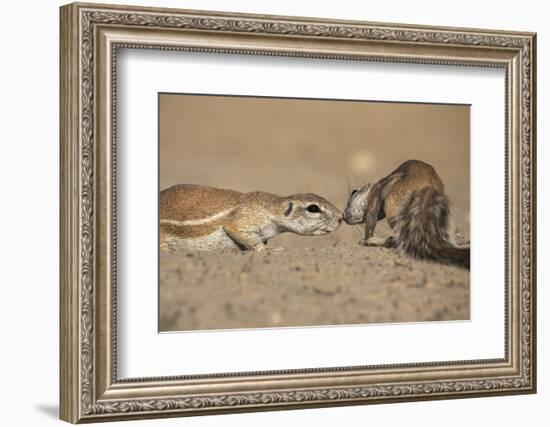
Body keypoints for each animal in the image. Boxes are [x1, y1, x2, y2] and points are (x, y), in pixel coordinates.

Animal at [160, 184, 342, 251]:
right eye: (313, 208)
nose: (341, 217)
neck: (271, 208)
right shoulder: (245, 218)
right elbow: (239, 231)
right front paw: (268, 250)